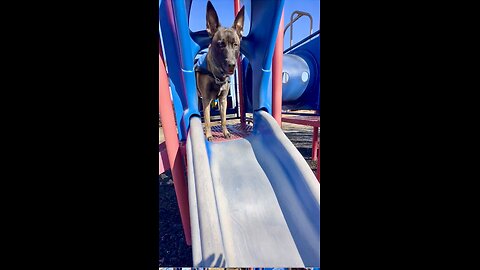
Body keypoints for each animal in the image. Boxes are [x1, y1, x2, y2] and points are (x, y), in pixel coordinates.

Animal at [195, 1, 244, 141]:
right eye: (221, 44)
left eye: (235, 44)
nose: (232, 65)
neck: (217, 75)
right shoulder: (206, 99)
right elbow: (207, 120)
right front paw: (209, 135)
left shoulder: (222, 100)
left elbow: (223, 119)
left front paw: (225, 132)